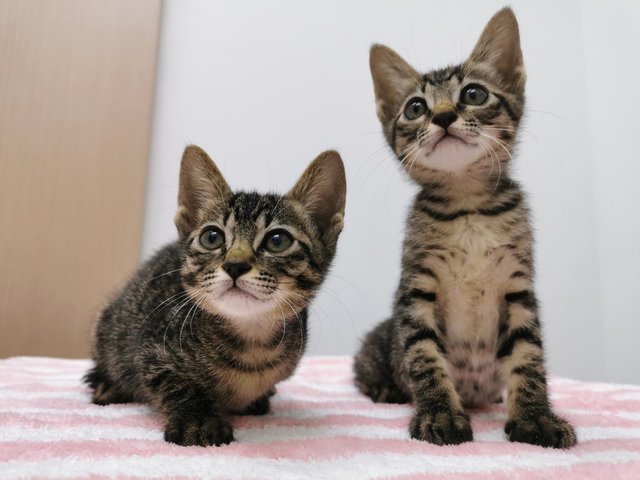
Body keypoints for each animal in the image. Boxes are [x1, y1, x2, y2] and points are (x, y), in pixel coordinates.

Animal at [86, 145, 344, 446]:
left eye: (277, 241)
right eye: (212, 237)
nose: (235, 265)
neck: (252, 341)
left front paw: (255, 399)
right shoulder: (150, 351)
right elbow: (178, 384)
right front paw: (197, 420)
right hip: (107, 325)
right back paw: (109, 386)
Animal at [352, 7, 576, 448]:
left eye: (473, 94)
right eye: (415, 108)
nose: (442, 116)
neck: (467, 206)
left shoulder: (518, 288)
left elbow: (528, 356)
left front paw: (535, 417)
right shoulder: (416, 290)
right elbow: (424, 355)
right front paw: (439, 414)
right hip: (375, 344)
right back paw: (386, 390)